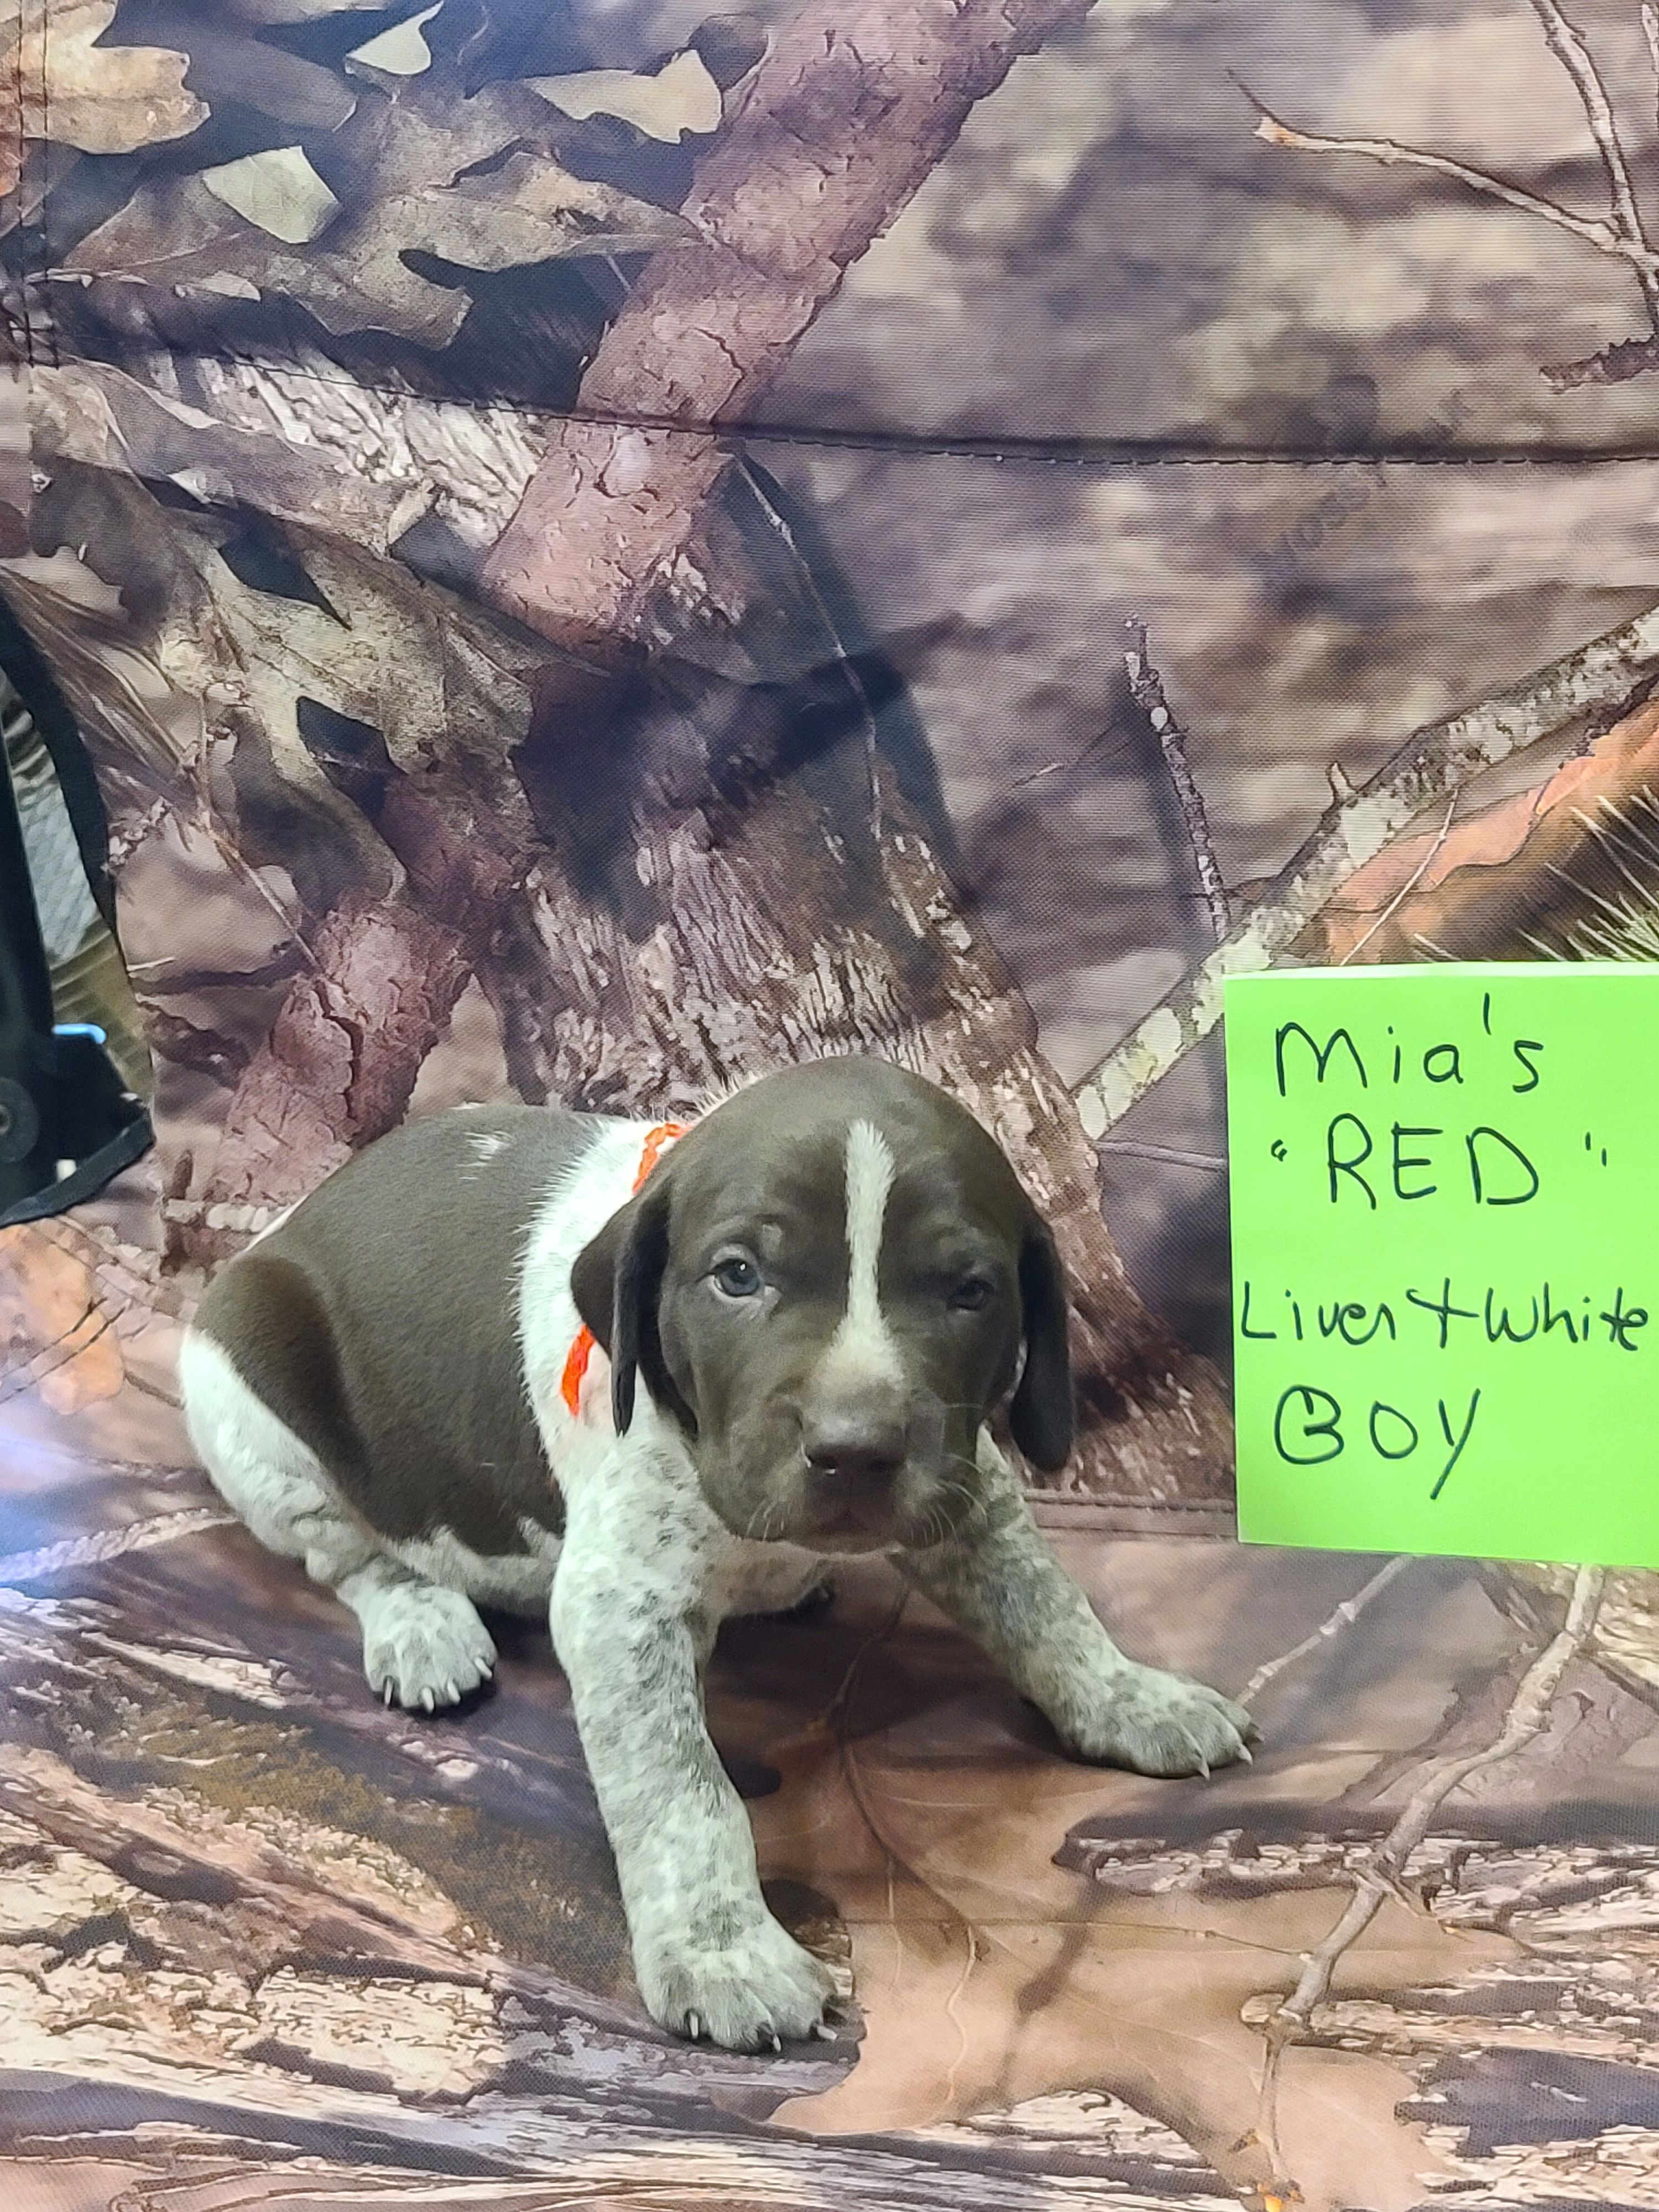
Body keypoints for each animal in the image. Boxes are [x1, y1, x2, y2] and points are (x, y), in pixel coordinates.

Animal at [179, 1057, 1254, 2051]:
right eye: (739, 1275)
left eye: (971, 1291)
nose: (855, 1449)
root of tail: (284, 1225)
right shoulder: (623, 1607)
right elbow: (682, 1792)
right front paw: (721, 1947)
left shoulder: (965, 1484)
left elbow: (1044, 1604)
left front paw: (1130, 1696)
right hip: (247, 1402)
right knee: (349, 1557)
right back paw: (420, 1623)